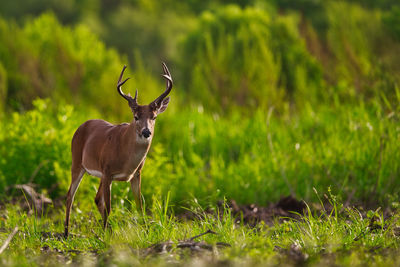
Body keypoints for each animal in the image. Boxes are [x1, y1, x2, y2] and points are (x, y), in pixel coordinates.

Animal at [63, 63, 172, 239]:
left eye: (154, 117)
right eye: (135, 116)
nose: (146, 132)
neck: (127, 159)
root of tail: (81, 126)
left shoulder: (136, 174)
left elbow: (140, 206)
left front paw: (145, 232)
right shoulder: (108, 171)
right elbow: (109, 207)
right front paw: (105, 236)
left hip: (99, 172)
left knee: (96, 198)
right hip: (77, 162)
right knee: (70, 196)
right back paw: (66, 233)